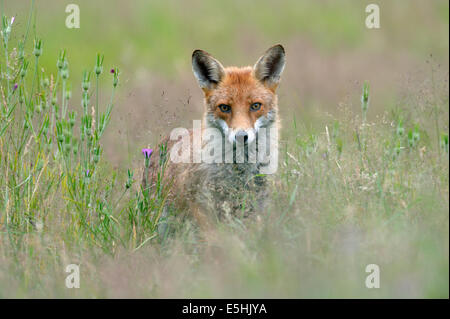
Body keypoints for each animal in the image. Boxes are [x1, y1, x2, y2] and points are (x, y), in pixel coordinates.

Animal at [142, 44, 286, 235]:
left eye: (255, 106)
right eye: (224, 107)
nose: (241, 136)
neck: (240, 171)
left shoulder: (258, 205)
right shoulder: (202, 208)